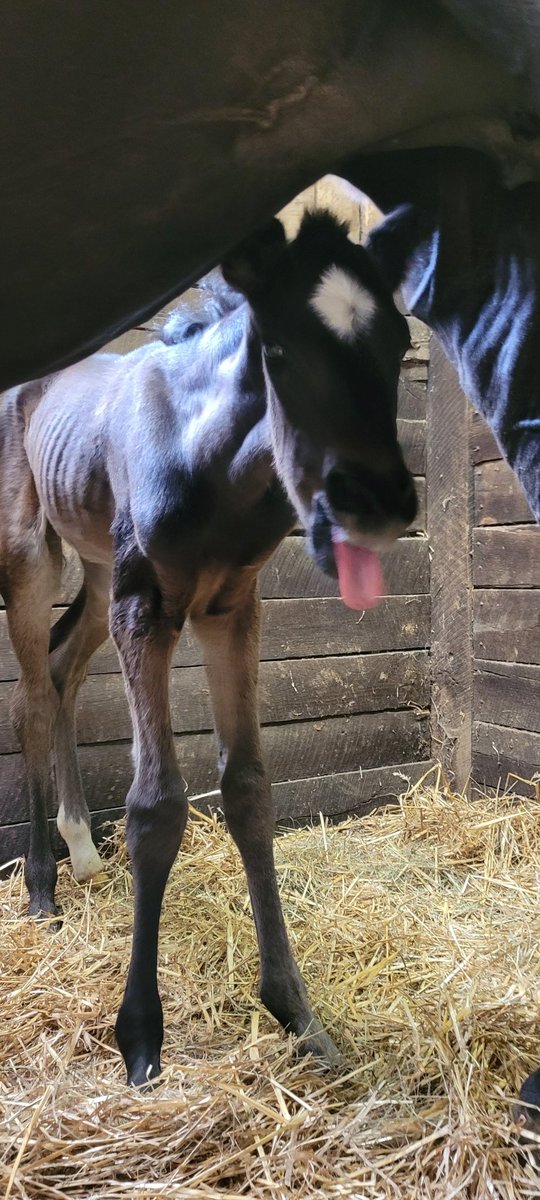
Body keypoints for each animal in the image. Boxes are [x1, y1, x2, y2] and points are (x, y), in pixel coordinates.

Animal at [0, 210, 416, 1086]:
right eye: (280, 349)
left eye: (400, 341)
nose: (380, 500)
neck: (217, 467)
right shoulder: (147, 606)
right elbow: (157, 804)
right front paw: (140, 1038)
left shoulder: (231, 608)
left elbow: (250, 791)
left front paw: (300, 1017)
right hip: (33, 555)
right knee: (31, 697)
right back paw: (44, 891)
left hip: (99, 570)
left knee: (60, 665)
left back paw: (83, 851)